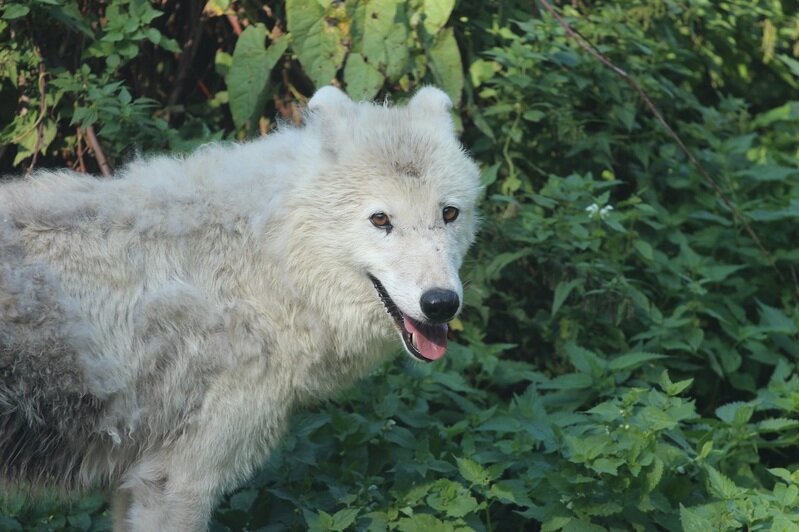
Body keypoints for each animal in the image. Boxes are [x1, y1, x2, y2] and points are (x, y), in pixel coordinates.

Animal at [0, 86, 482, 528]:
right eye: (381, 220)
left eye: (449, 214)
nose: (441, 303)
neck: (265, 259)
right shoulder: (178, 482)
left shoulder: (134, 483)